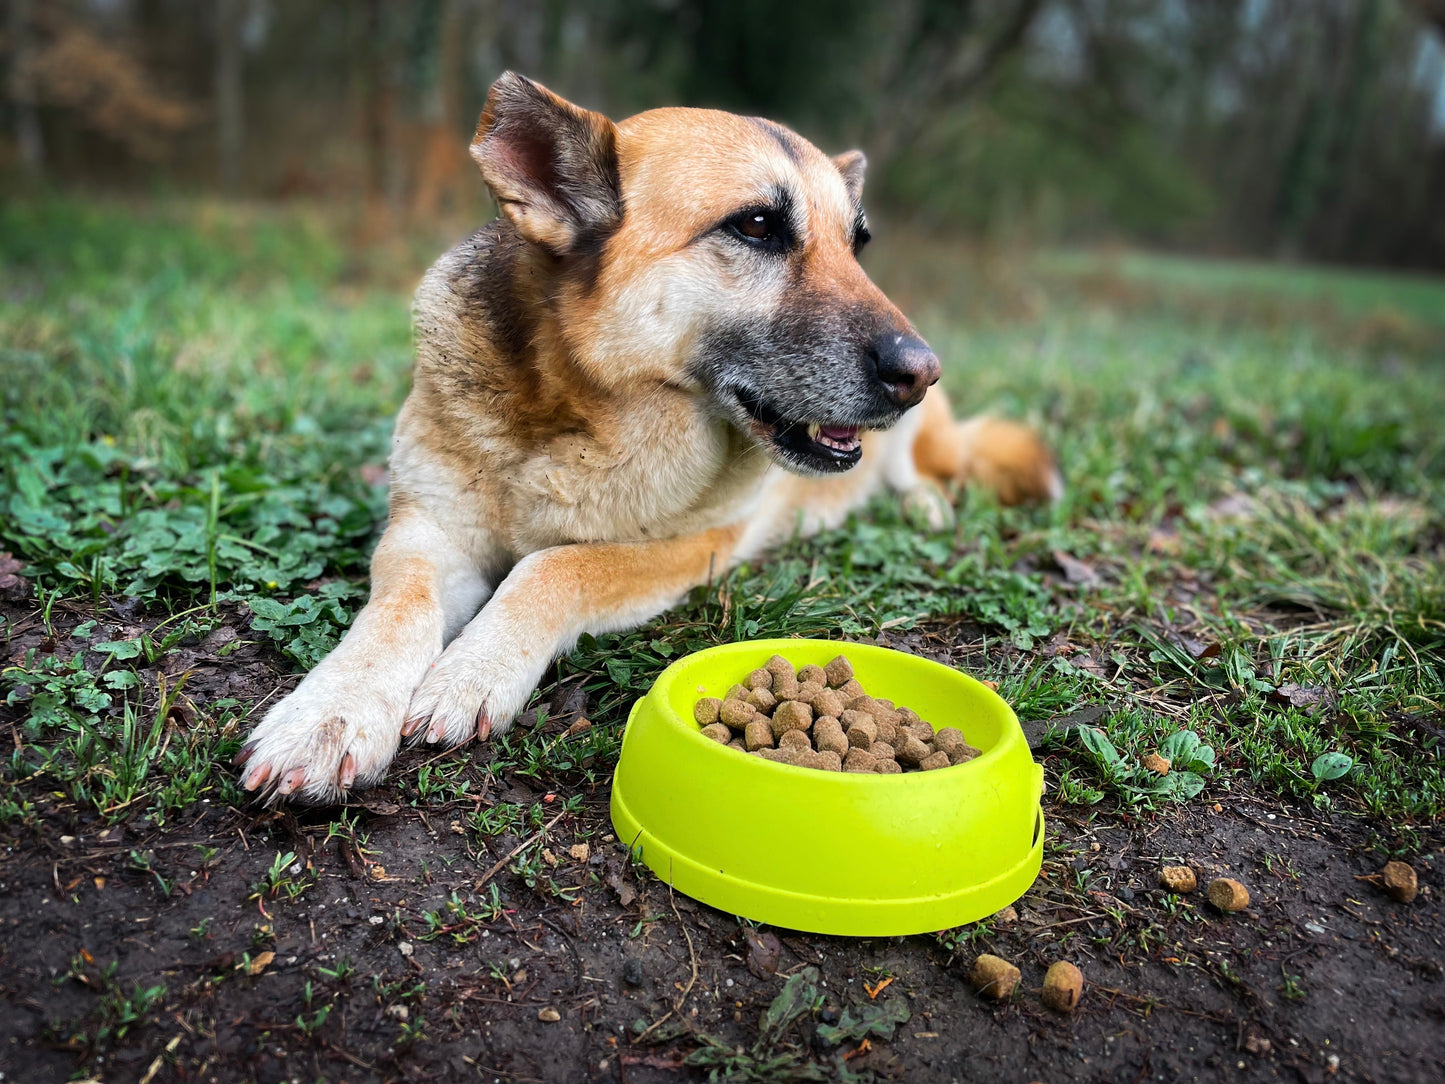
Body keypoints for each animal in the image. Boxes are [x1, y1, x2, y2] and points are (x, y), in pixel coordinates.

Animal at [234, 74, 1051, 809]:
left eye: (858, 245)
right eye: (757, 226)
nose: (922, 372)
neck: (574, 418)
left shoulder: (691, 547)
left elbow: (556, 566)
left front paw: (473, 670)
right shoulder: (427, 531)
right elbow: (396, 609)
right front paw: (329, 715)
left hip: (916, 442)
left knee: (925, 473)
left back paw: (927, 510)